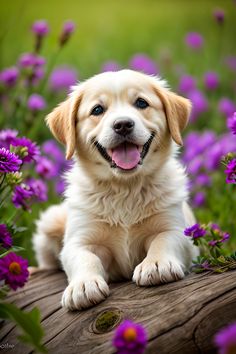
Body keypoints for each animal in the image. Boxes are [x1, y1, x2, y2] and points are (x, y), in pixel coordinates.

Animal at [33, 69, 198, 310]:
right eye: (97, 110)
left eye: (141, 103)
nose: (123, 124)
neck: (124, 187)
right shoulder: (79, 240)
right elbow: (84, 257)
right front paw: (83, 285)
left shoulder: (177, 229)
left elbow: (163, 240)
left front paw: (157, 264)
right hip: (51, 220)